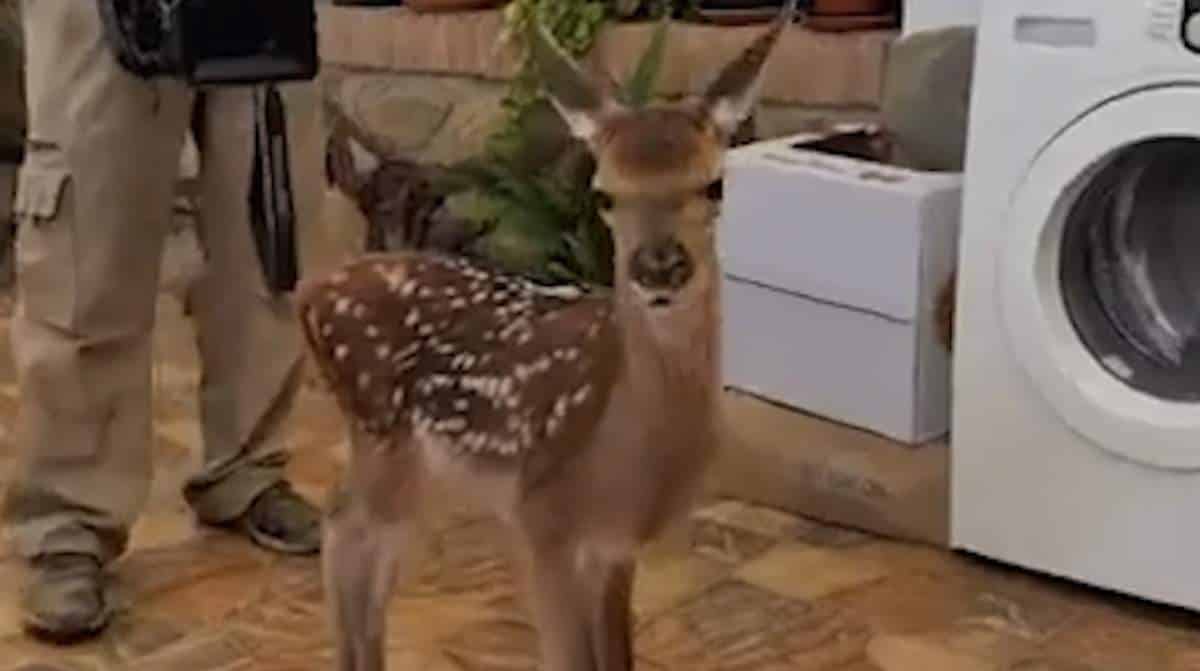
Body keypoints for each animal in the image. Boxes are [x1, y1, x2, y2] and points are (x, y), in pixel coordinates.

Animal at [295, 3, 795, 669]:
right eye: (604, 194)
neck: (630, 449)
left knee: (362, 539)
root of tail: (310, 294)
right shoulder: (542, 518)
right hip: (382, 437)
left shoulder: (616, 545)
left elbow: (618, 655)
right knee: (343, 525)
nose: (659, 266)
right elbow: (567, 656)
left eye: (715, 184)